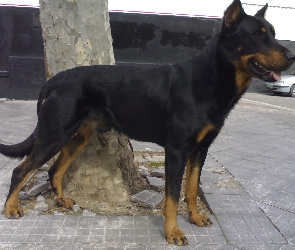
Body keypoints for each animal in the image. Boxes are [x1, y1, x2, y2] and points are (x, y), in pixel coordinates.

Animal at [0, 0, 295, 246]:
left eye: (273, 32)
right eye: (257, 35)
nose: (292, 56)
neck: (209, 80)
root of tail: (53, 81)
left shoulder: (200, 150)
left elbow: (191, 189)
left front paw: (195, 217)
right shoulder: (176, 151)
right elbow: (172, 197)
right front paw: (173, 232)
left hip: (77, 136)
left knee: (54, 170)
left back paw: (61, 199)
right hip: (54, 135)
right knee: (21, 171)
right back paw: (11, 208)